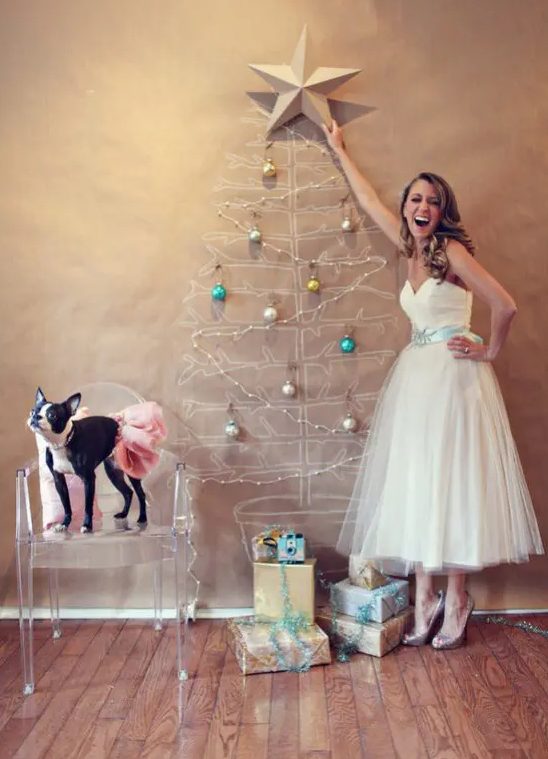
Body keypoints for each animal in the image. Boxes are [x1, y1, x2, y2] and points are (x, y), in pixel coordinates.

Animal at [28, 388, 151, 532]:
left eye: (52, 415)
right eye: (32, 411)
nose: (35, 417)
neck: (61, 444)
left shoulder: (88, 479)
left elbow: (88, 505)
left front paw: (87, 525)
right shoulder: (59, 480)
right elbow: (66, 505)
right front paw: (65, 524)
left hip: (130, 471)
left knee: (140, 494)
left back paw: (142, 518)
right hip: (113, 472)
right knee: (128, 492)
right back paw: (123, 514)